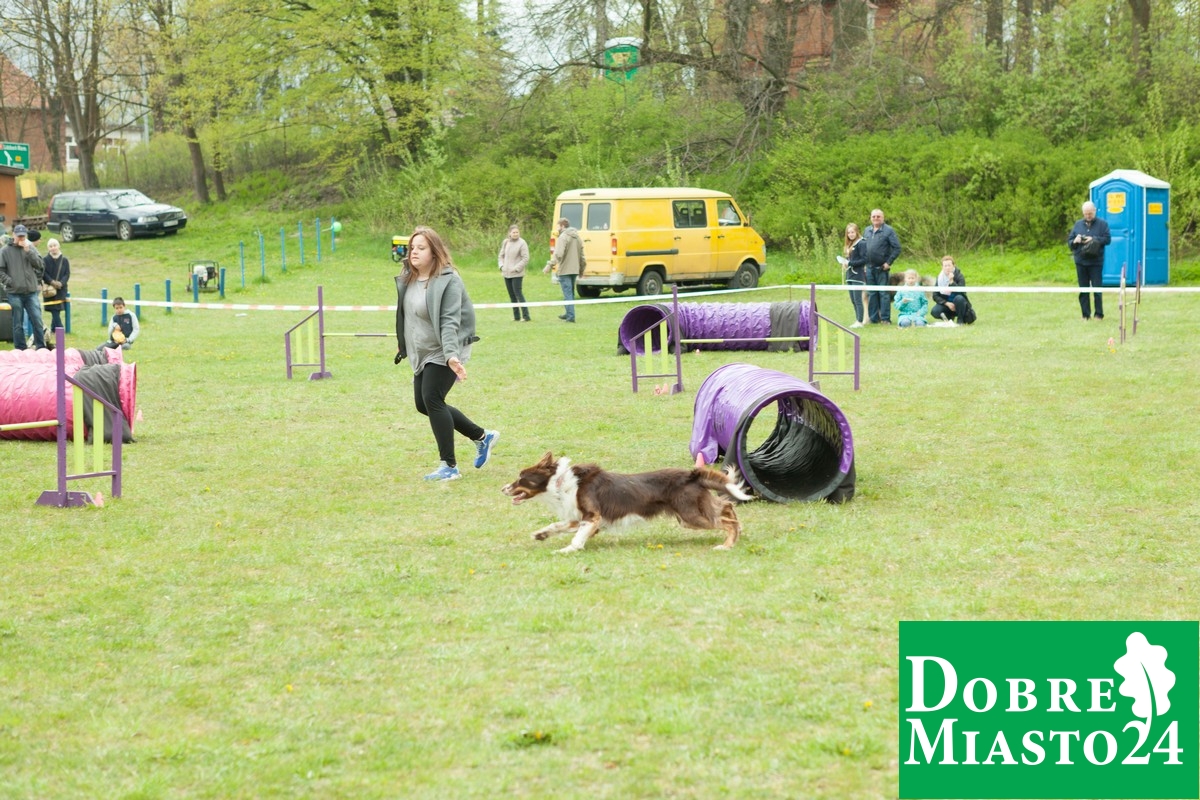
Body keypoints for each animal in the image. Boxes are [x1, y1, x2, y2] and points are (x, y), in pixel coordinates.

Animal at [501, 451, 753, 553]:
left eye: (521, 478)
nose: (502, 488)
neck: (561, 482)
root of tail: (692, 474)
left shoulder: (592, 517)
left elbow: (576, 537)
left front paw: (567, 550)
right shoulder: (580, 517)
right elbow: (557, 525)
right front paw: (541, 534)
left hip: (690, 515)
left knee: (726, 519)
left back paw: (727, 545)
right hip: (691, 513)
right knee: (727, 507)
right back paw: (738, 531)